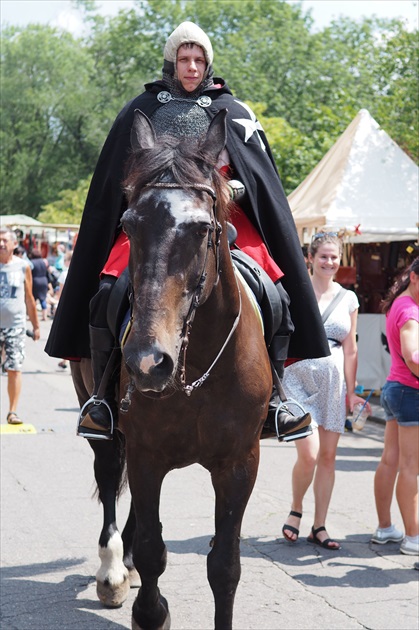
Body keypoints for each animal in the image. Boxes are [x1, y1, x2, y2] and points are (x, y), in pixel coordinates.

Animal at [70, 110, 274, 630]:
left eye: (202, 228)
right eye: (128, 224)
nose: (147, 362)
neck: (195, 371)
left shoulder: (239, 464)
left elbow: (224, 564)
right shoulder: (146, 453)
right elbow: (151, 550)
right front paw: (148, 607)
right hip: (105, 423)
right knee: (110, 476)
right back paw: (112, 571)